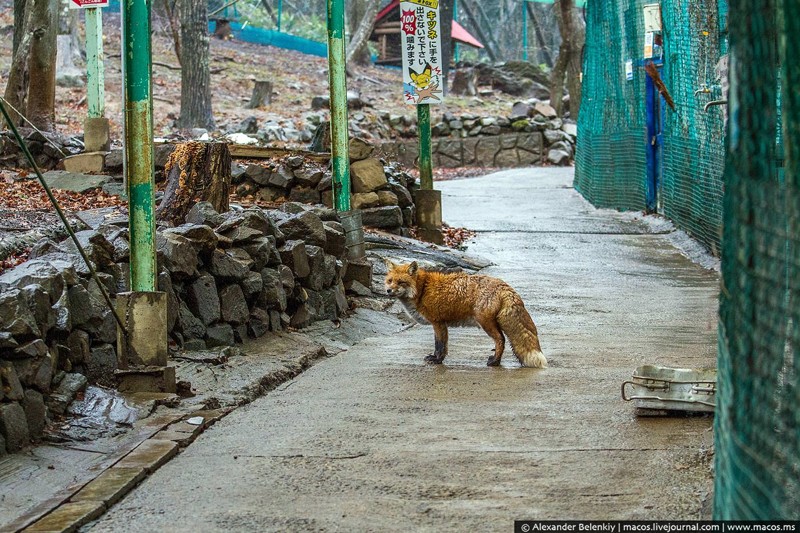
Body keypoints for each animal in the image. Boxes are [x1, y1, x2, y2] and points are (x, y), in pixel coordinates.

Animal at [384, 260, 548, 368]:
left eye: (401, 282)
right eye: (390, 281)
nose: (388, 291)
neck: (422, 289)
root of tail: (505, 287)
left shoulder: (438, 322)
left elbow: (440, 345)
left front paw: (437, 361)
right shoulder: (440, 324)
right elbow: (439, 345)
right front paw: (436, 358)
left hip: (485, 323)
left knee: (501, 340)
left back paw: (494, 362)